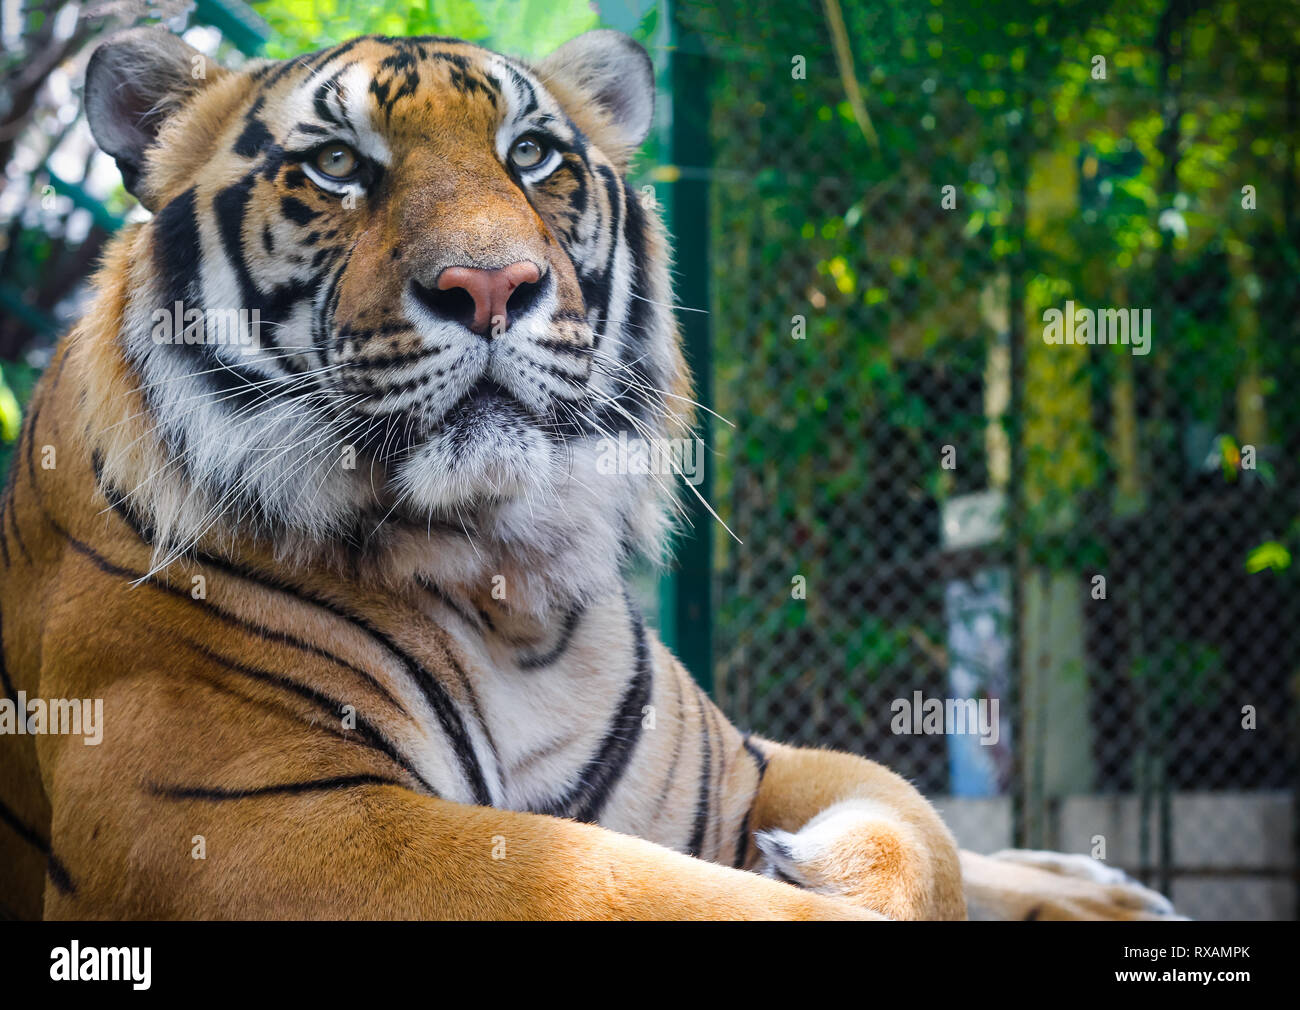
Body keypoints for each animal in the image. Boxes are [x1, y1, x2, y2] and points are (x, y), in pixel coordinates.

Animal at [0, 25, 1185, 920]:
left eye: (531, 154)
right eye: (336, 165)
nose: (490, 284)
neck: (501, 583)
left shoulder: (740, 763)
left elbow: (917, 818)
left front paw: (824, 862)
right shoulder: (249, 819)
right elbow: (652, 892)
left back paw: (1111, 890)